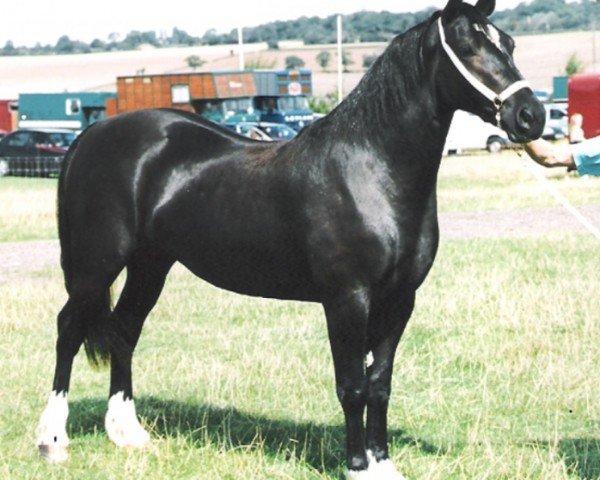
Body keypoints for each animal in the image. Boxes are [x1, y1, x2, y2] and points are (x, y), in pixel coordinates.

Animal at [36, 1, 544, 478]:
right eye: (468, 46)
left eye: (510, 43)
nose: (531, 115)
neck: (370, 169)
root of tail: (91, 133)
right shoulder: (347, 299)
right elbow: (352, 385)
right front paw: (356, 465)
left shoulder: (400, 299)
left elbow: (380, 383)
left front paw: (382, 463)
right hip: (96, 264)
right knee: (68, 330)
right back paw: (53, 439)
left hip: (150, 264)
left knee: (124, 331)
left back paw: (128, 434)